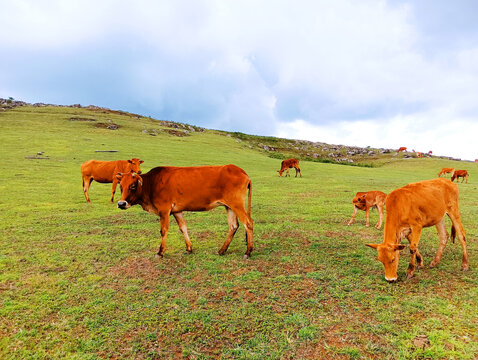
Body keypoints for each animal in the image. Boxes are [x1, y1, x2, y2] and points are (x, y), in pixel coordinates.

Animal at [115, 165, 254, 258]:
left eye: (132, 186)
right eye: (120, 186)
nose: (121, 203)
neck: (152, 183)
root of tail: (240, 170)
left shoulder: (164, 210)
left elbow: (163, 230)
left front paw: (160, 252)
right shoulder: (177, 211)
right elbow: (183, 228)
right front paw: (189, 248)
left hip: (237, 204)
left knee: (248, 223)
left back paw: (248, 252)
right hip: (229, 206)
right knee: (233, 226)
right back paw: (222, 250)